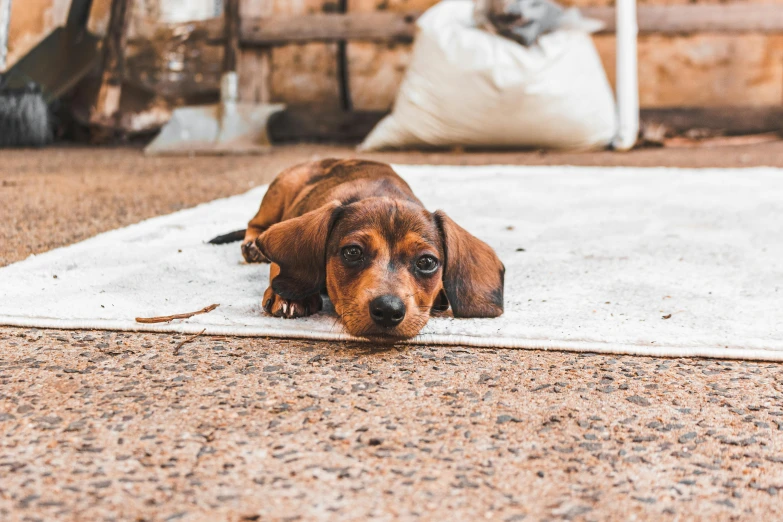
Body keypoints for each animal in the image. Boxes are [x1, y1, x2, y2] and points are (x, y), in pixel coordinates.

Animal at [211, 160, 506, 344]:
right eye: (352, 252)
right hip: (280, 190)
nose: (387, 310)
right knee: (255, 224)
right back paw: (252, 245)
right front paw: (289, 296)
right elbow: (279, 265)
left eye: (426, 262)